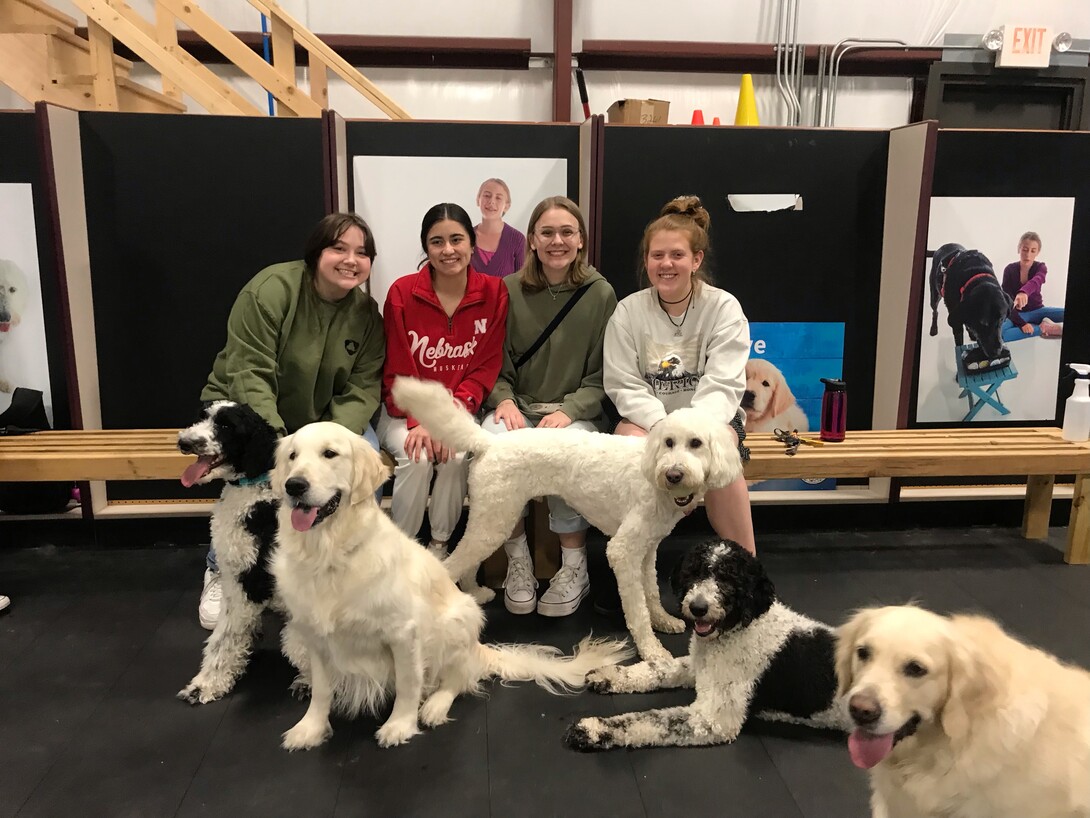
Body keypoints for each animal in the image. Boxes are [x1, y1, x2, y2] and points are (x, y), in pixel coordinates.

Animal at [177, 401, 285, 706]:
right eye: (202, 417)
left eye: (226, 426)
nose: (184, 442)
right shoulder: (232, 578)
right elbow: (224, 635)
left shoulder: (250, 583)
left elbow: (226, 637)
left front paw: (206, 685)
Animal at [269, 425, 636, 754]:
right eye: (292, 456)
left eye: (330, 453)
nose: (294, 485)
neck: (329, 555)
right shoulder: (317, 637)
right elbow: (322, 690)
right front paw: (309, 728)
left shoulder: (403, 634)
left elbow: (408, 684)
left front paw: (399, 725)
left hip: (456, 619)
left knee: (457, 677)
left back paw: (434, 706)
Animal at [562, 540, 850, 754]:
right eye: (693, 572)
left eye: (729, 579)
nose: (697, 608)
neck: (738, 629)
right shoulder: (697, 666)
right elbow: (658, 668)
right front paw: (609, 675)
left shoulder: (713, 719)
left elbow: (651, 720)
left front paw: (594, 729)